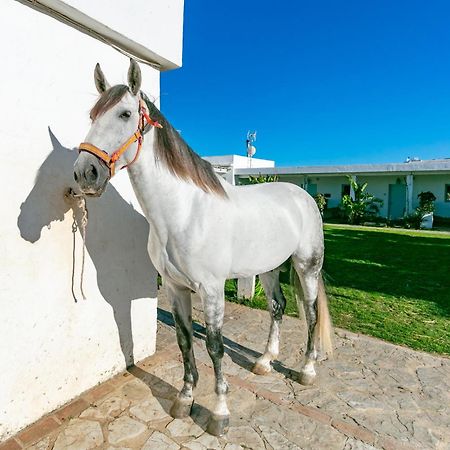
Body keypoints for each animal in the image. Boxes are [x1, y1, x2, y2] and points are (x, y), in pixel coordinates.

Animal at [74, 59, 332, 436]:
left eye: (124, 114)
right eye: (92, 115)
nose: (85, 173)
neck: (183, 213)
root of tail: (302, 196)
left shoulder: (211, 290)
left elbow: (214, 346)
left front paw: (220, 414)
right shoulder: (175, 288)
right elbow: (185, 342)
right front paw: (184, 400)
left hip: (307, 266)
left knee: (311, 314)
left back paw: (308, 371)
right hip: (268, 268)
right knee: (278, 307)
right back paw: (265, 361)